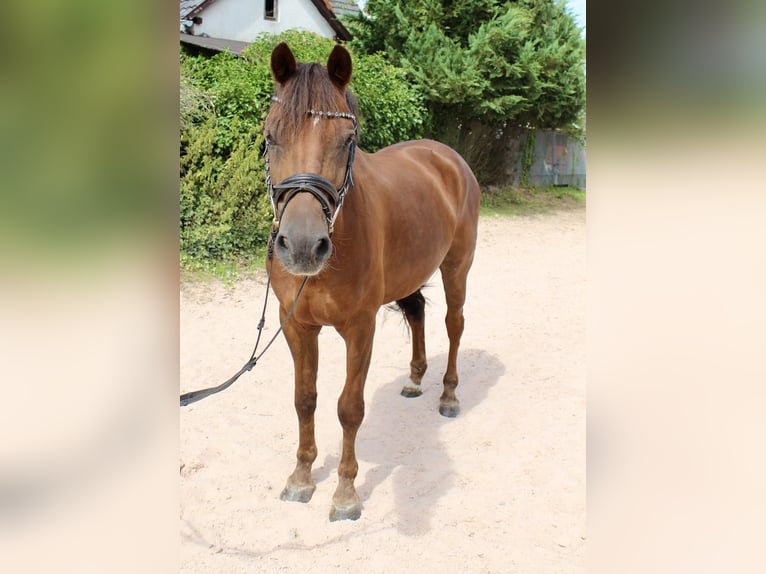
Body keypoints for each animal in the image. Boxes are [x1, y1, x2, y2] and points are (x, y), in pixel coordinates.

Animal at [264, 44, 480, 520]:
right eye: (271, 137)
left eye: (348, 141)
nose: (303, 245)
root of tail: (447, 156)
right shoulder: (296, 327)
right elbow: (304, 398)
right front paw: (301, 478)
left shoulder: (359, 328)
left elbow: (349, 408)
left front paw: (345, 493)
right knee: (417, 312)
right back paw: (415, 380)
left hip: (457, 267)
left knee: (454, 325)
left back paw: (448, 395)